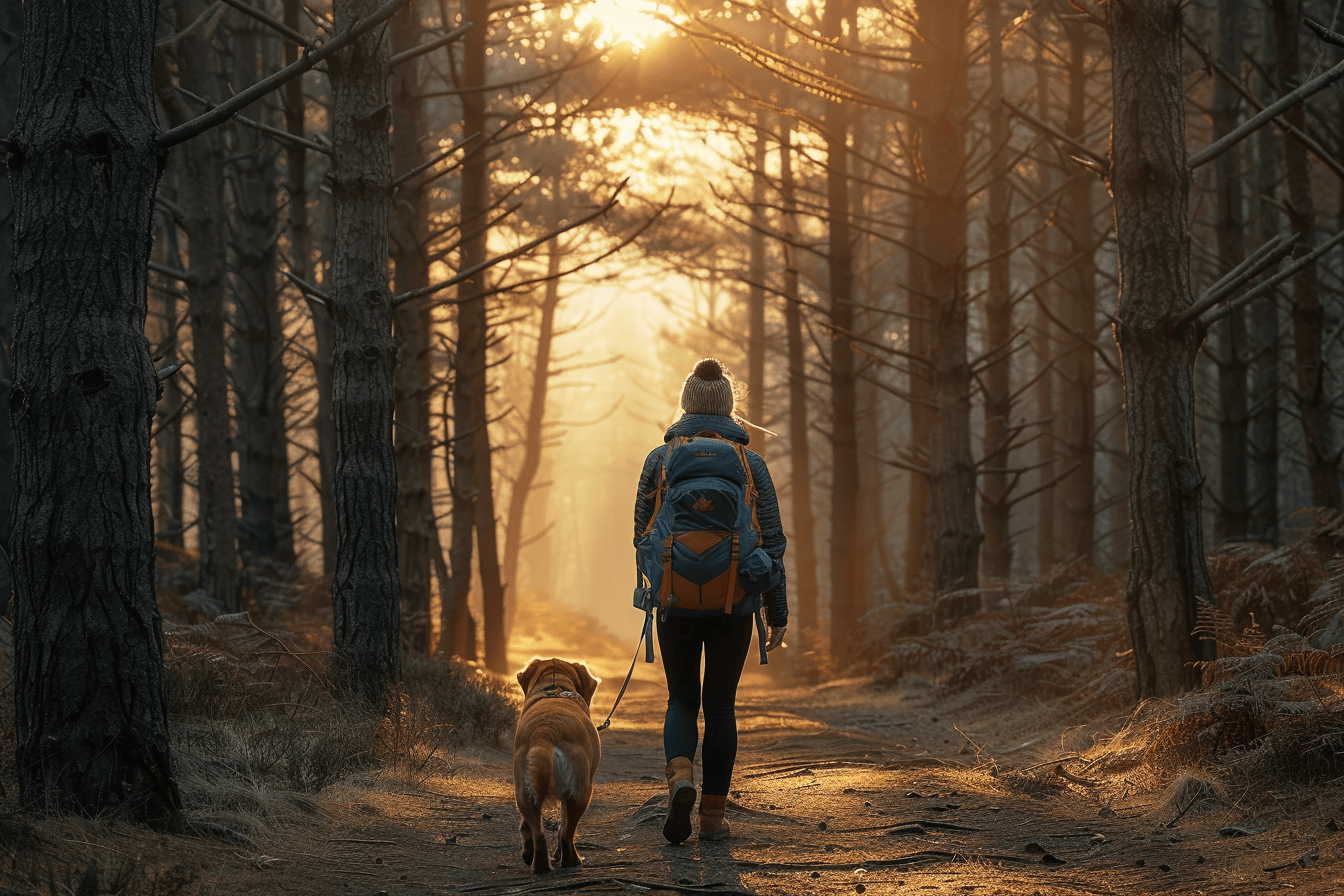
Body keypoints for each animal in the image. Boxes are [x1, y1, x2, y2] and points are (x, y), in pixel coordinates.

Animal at [510, 655, 602, 870]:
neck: (555, 685)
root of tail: (544, 733)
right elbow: (563, 827)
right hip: (580, 793)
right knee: (566, 833)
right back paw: (571, 861)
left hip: (523, 792)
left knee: (537, 833)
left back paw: (537, 863)